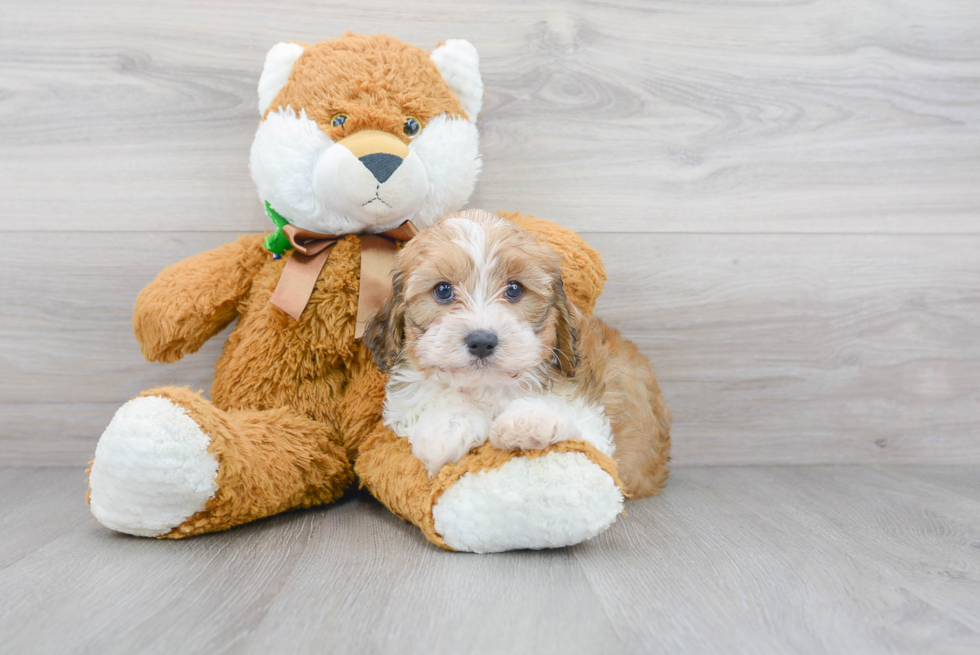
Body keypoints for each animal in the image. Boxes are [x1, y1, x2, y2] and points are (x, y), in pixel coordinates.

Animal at [364, 210, 668, 498]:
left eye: (514, 289)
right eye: (443, 290)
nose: (482, 341)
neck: (487, 387)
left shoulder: (595, 431)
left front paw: (530, 420)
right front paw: (449, 425)